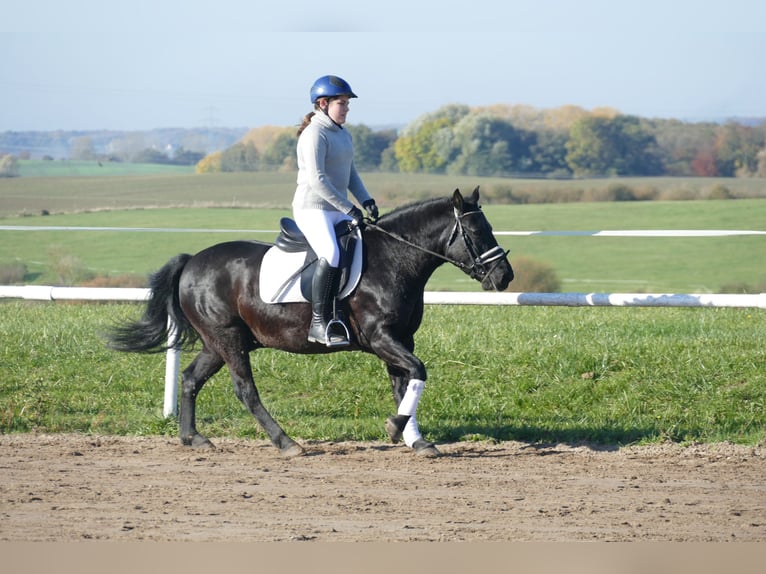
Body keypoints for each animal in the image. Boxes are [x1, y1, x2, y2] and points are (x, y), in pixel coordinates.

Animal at [106, 189, 516, 460]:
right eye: (476, 233)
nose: (504, 276)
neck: (395, 259)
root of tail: (192, 261)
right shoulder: (381, 338)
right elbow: (418, 372)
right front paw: (396, 427)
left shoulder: (401, 340)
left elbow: (406, 383)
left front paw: (415, 439)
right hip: (228, 340)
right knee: (245, 390)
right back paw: (287, 444)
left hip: (217, 342)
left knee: (191, 379)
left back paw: (193, 438)